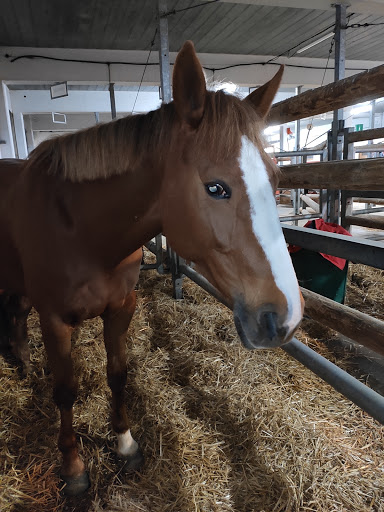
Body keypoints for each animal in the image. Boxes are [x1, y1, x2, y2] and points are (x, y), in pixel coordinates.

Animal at [0, 43, 304, 496]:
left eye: (275, 179)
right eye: (216, 187)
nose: (286, 318)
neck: (79, 227)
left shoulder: (121, 307)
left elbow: (118, 374)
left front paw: (125, 444)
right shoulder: (54, 319)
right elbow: (66, 391)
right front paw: (74, 469)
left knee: (16, 313)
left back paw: (21, 360)